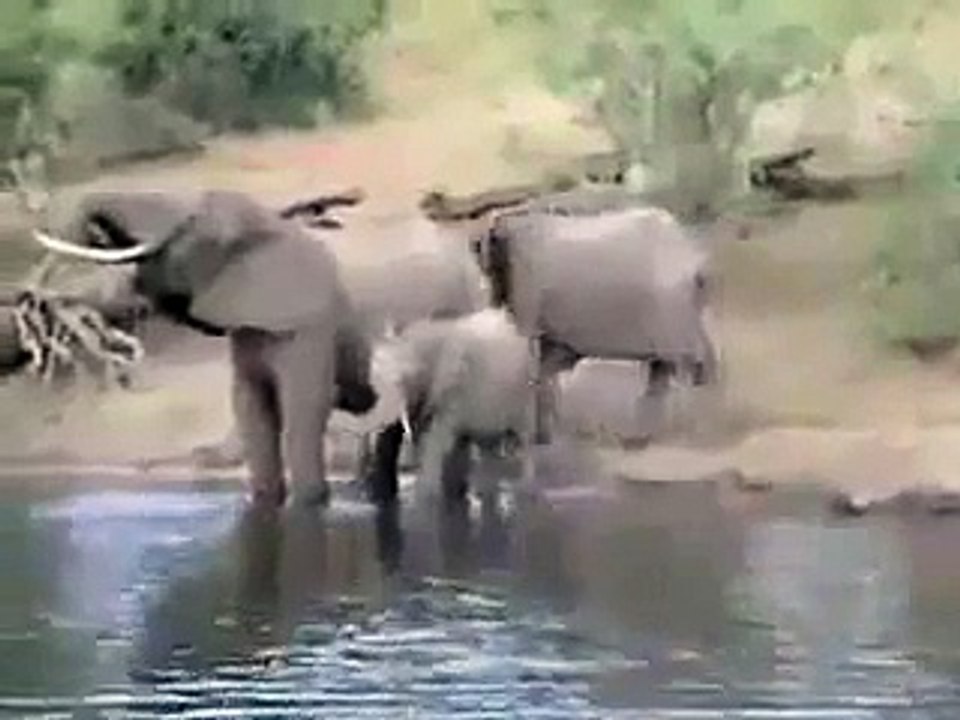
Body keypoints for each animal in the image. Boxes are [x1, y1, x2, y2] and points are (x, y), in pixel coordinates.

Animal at [31, 188, 380, 508]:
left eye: (191, 227)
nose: (96, 229)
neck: (266, 229)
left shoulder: (307, 328)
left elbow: (301, 413)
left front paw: (309, 503)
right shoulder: (247, 326)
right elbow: (250, 409)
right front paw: (264, 502)